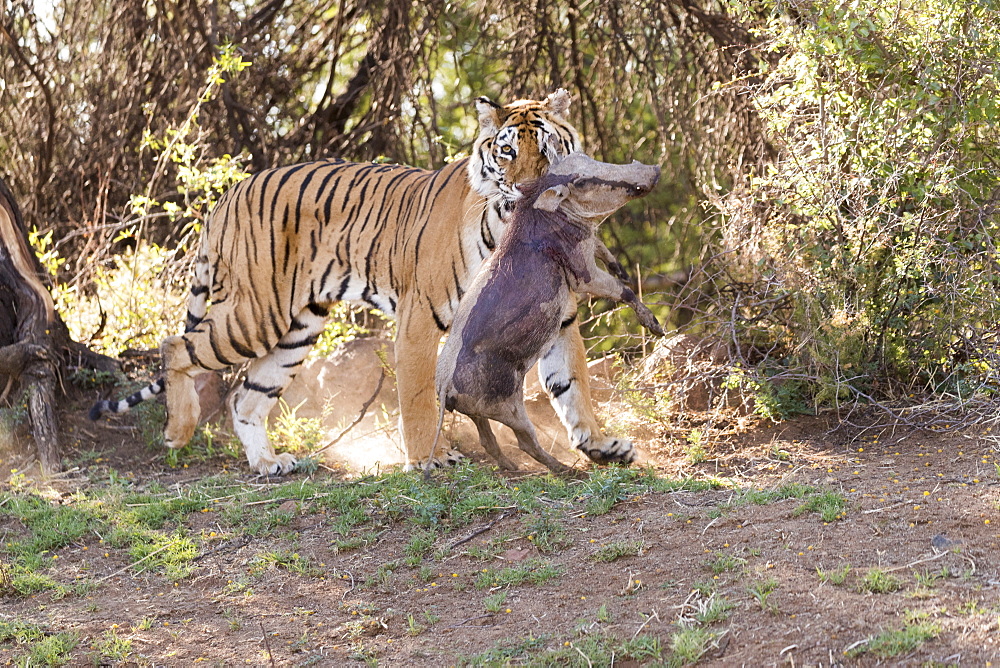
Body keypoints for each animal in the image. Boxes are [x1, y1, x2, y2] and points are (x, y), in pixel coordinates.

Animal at [90, 90, 636, 474]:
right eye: (505, 152)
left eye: (546, 149)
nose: (526, 188)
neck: (511, 225)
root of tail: (227, 196)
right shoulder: (419, 320)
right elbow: (418, 396)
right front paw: (427, 459)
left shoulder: (559, 318)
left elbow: (573, 386)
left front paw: (601, 445)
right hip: (255, 314)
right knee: (174, 346)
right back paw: (179, 432)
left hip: (297, 331)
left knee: (244, 397)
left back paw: (267, 463)